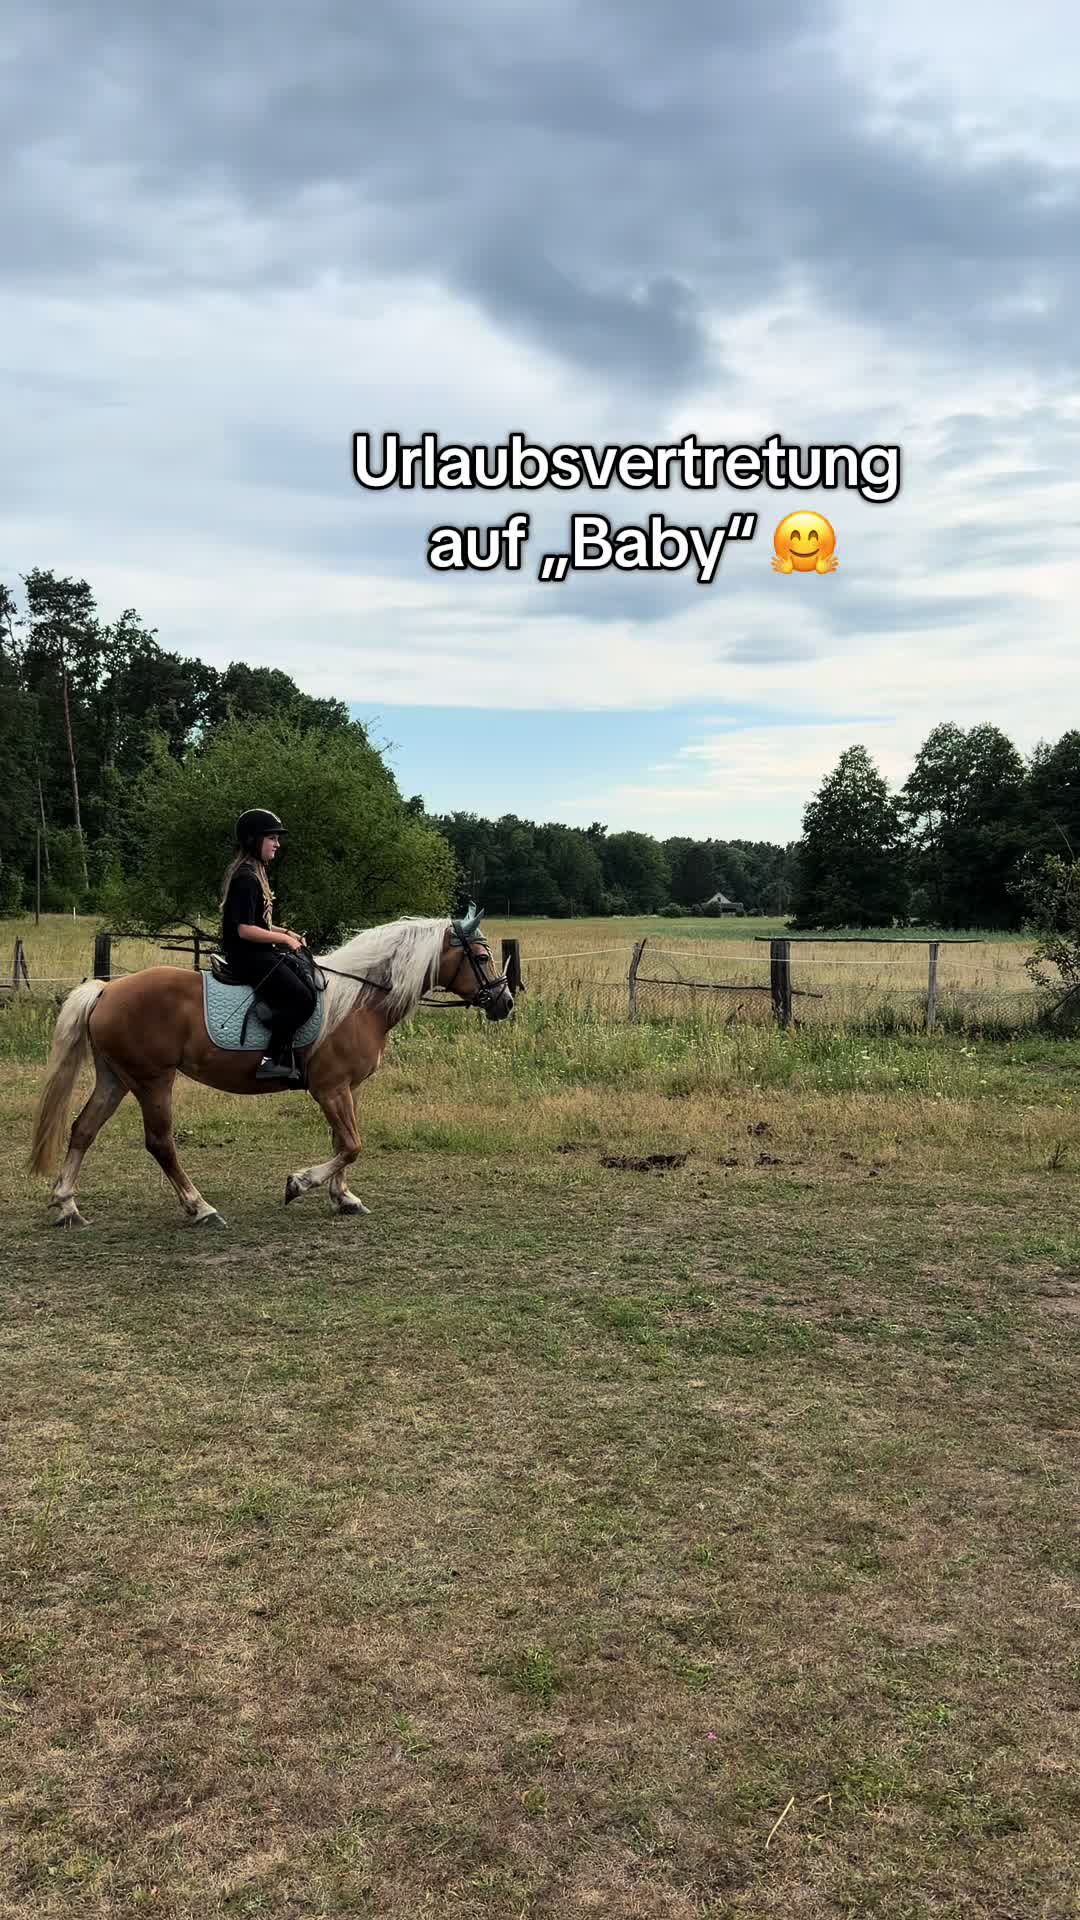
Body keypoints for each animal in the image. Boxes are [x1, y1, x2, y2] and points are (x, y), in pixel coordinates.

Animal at [27, 904, 512, 1230]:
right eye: (481, 957)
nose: (505, 1002)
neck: (360, 1001)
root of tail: (107, 990)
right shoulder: (330, 1087)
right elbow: (352, 1144)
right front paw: (300, 1183)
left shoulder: (345, 1089)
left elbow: (344, 1142)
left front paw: (343, 1197)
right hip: (152, 1080)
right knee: (160, 1143)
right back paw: (201, 1208)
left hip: (117, 1077)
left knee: (83, 1129)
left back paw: (66, 1204)